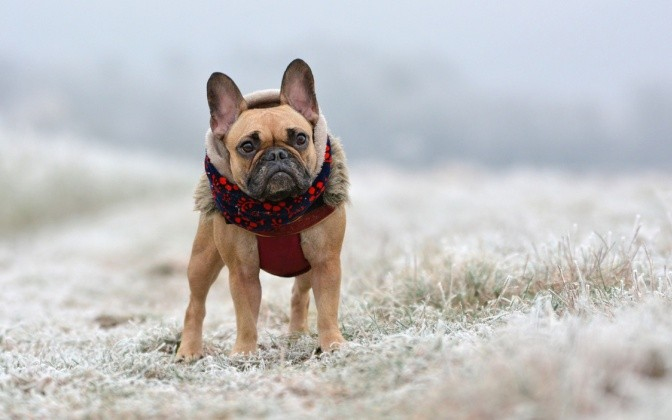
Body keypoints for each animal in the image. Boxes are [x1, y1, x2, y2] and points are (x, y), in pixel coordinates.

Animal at [176, 59, 350, 360]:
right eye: (247, 146)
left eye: (301, 138)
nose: (277, 154)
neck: (278, 208)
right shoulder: (242, 272)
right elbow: (246, 316)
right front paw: (245, 353)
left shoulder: (325, 262)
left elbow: (327, 309)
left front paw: (332, 345)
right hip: (202, 261)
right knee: (195, 305)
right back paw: (188, 350)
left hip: (307, 267)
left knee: (299, 294)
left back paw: (296, 335)